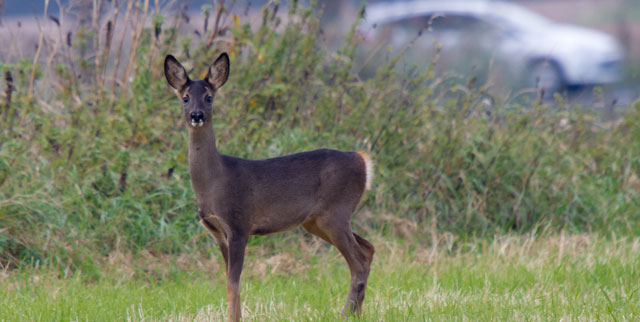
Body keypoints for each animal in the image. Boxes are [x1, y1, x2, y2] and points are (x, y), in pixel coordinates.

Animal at [165, 52, 376, 322]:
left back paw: (345, 314)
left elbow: (233, 284)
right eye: (185, 97)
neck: (214, 182)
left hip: (336, 212)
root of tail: (362, 161)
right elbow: (231, 282)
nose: (196, 115)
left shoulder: (239, 224)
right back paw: (355, 313)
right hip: (317, 221)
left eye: (209, 97)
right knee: (368, 249)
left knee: (358, 262)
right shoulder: (218, 232)